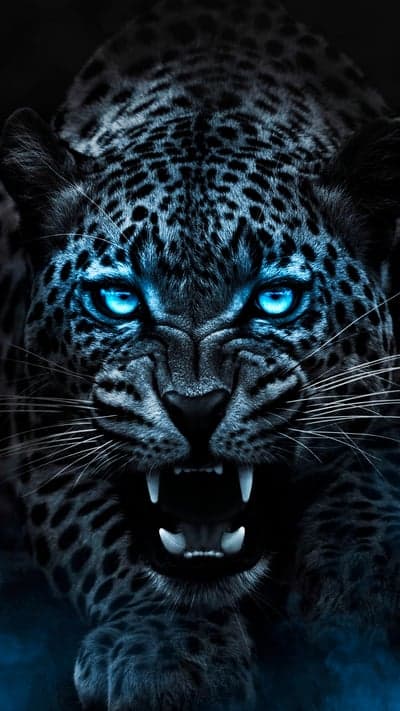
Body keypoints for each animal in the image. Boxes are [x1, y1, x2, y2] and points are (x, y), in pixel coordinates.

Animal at [1, 0, 400, 708]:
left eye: (274, 299)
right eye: (119, 300)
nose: (195, 408)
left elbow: (377, 472)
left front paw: (360, 588)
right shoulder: (33, 422)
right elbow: (98, 535)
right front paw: (168, 653)